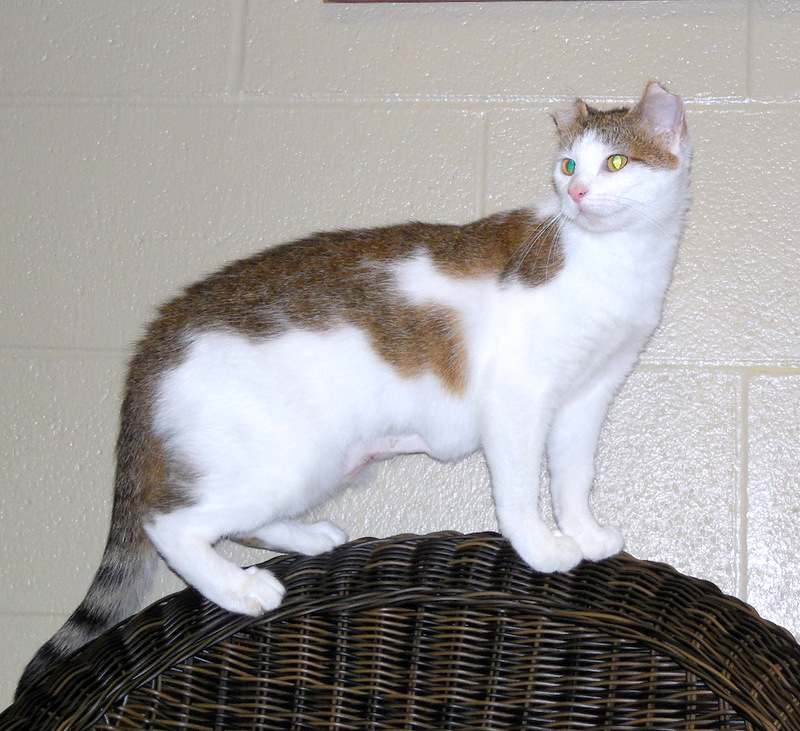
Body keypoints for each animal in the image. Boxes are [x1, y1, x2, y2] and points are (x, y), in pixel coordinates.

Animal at [17, 80, 691, 695]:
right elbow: (522, 488)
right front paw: (542, 546)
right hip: (282, 459)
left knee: (239, 523)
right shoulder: (518, 398)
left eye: (616, 163)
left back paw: (311, 539)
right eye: (569, 164)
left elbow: (573, 475)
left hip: (316, 467)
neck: (611, 260)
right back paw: (240, 587)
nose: (576, 193)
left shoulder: (589, 396)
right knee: (168, 522)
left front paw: (584, 532)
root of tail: (158, 332)